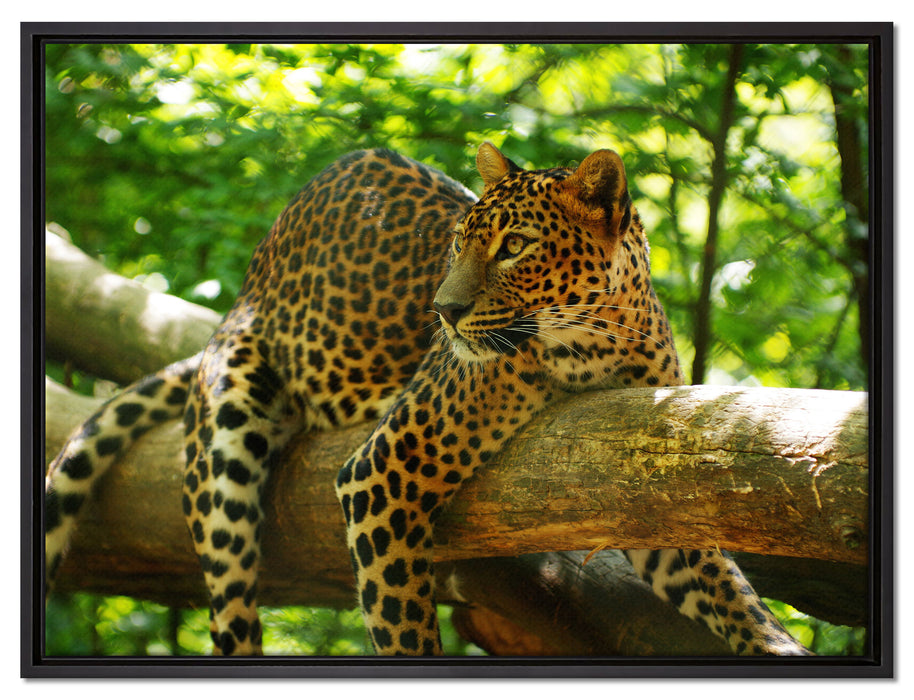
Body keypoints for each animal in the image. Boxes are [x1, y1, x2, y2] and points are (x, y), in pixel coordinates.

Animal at [45, 142, 811, 656]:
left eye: (515, 246)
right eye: (457, 242)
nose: (443, 311)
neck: (595, 345)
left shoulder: (643, 485)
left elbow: (730, 590)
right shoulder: (379, 474)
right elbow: (403, 625)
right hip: (227, 443)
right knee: (232, 606)